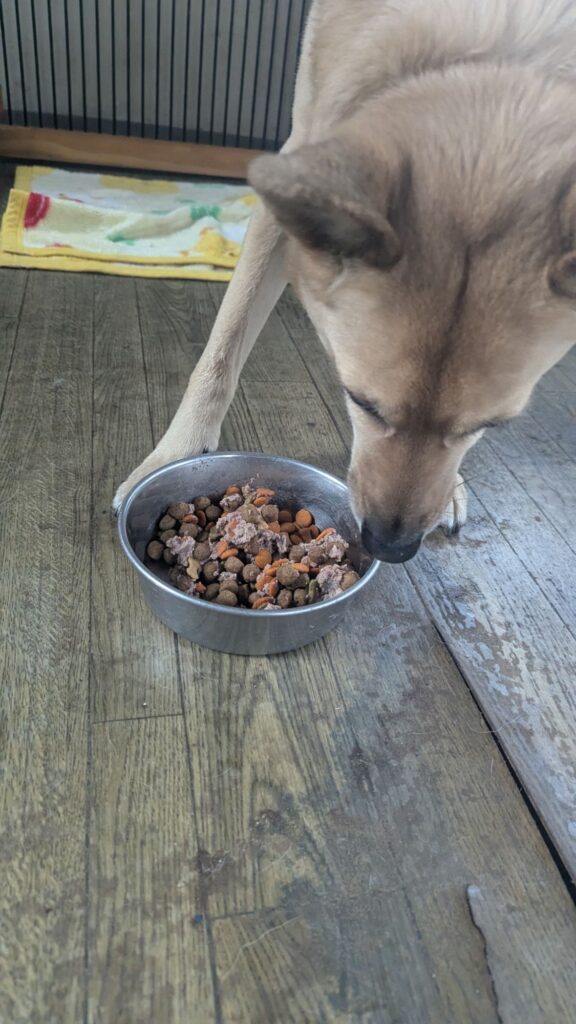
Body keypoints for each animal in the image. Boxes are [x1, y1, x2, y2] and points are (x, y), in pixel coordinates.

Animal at [114, 0, 576, 563]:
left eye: (488, 427)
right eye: (362, 402)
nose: (391, 547)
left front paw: (453, 485)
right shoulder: (289, 175)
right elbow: (222, 349)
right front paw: (172, 455)